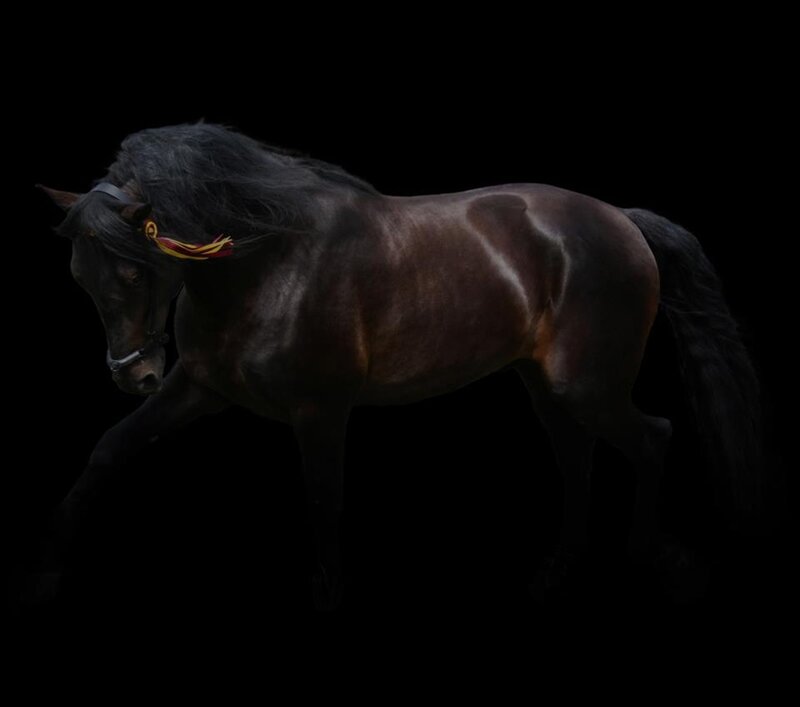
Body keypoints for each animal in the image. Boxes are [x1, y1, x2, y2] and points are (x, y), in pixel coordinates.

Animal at [35, 122, 762, 610]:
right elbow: (110, 447)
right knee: (577, 459)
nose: (131, 374)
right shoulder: (199, 387)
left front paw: (331, 595)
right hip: (545, 385)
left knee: (652, 438)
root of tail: (622, 219)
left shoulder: (320, 410)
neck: (269, 264)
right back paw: (552, 574)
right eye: (78, 274)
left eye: (134, 268)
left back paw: (655, 559)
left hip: (587, 384)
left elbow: (324, 501)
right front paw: (43, 572)